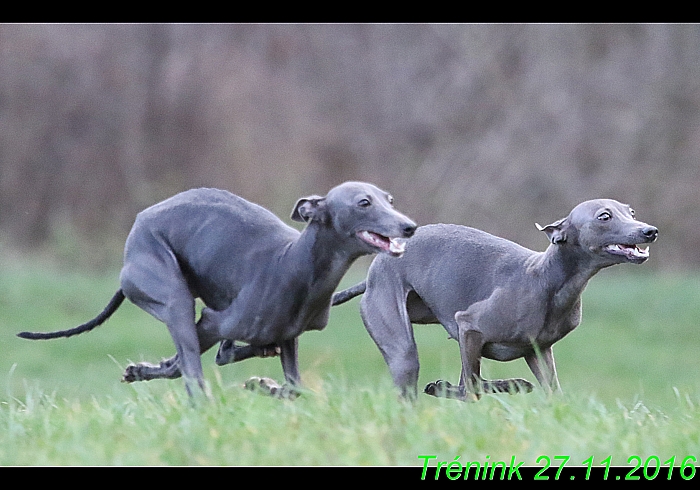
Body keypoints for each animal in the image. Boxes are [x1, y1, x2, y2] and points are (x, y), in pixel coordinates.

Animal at [19, 182, 416, 396]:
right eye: (363, 202)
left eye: (389, 200)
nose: (410, 226)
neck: (297, 262)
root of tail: (138, 224)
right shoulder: (213, 320)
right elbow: (190, 364)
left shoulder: (290, 336)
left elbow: (293, 386)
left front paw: (266, 385)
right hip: (175, 299)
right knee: (189, 363)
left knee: (200, 358)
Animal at [332, 199, 656, 402]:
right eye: (604, 216)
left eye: (630, 211)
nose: (649, 231)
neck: (547, 279)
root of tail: (373, 273)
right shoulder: (469, 327)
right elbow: (472, 387)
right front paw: (510, 385)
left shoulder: (538, 351)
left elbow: (553, 393)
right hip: (402, 346)